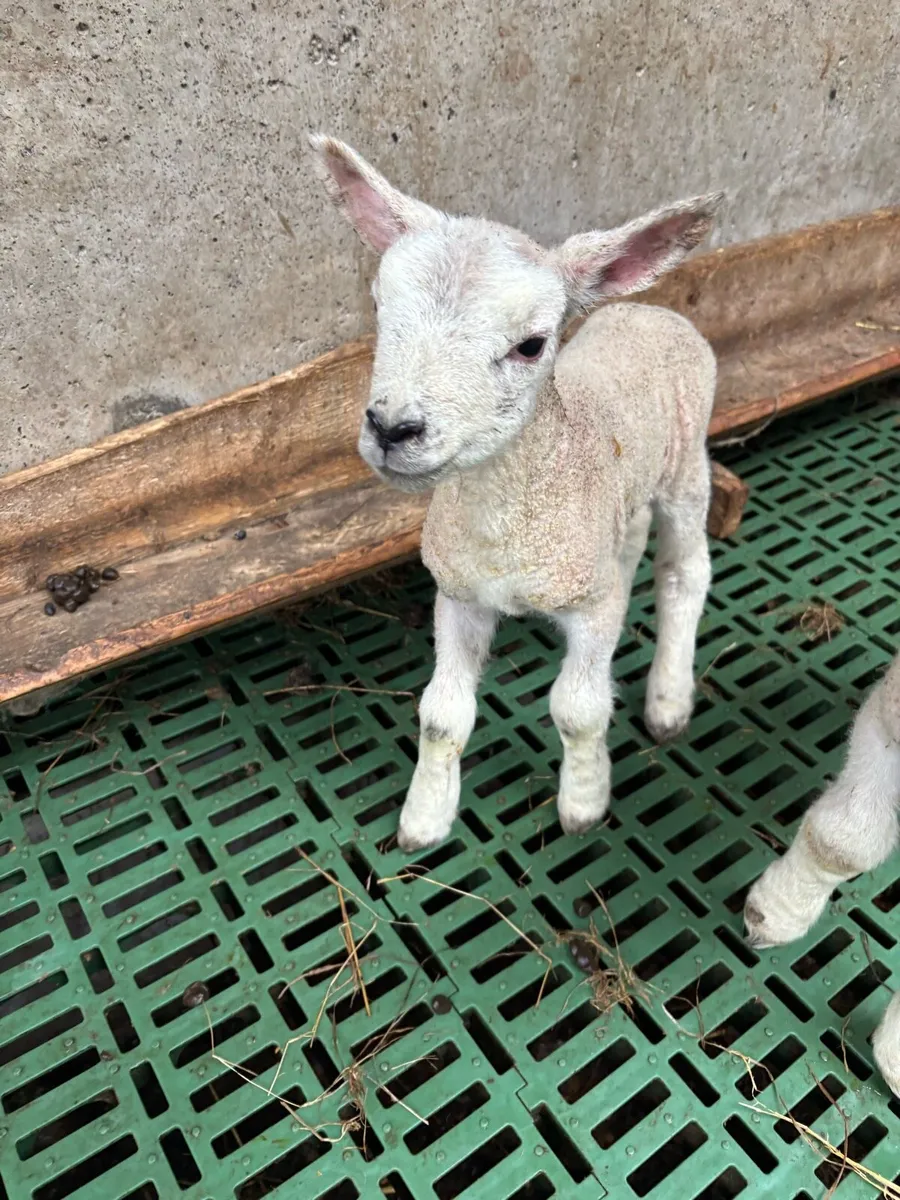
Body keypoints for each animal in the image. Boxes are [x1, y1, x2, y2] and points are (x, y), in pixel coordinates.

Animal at [310, 135, 722, 852]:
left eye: (531, 345)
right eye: (379, 308)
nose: (392, 427)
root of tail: (650, 309)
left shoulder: (590, 608)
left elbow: (578, 710)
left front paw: (584, 804)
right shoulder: (458, 593)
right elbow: (441, 714)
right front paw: (424, 820)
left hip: (685, 467)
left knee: (685, 571)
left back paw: (669, 699)